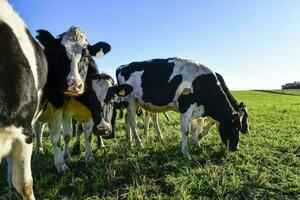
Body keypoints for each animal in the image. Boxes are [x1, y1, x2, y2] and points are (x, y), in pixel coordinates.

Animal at [116, 57, 244, 157]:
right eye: (236, 128)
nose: (236, 148)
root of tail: (123, 66)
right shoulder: (185, 107)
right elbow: (185, 130)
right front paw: (186, 153)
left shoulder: (195, 111)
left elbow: (193, 129)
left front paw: (197, 145)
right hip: (130, 100)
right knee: (133, 122)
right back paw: (139, 144)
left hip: (135, 102)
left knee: (128, 118)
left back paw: (130, 141)